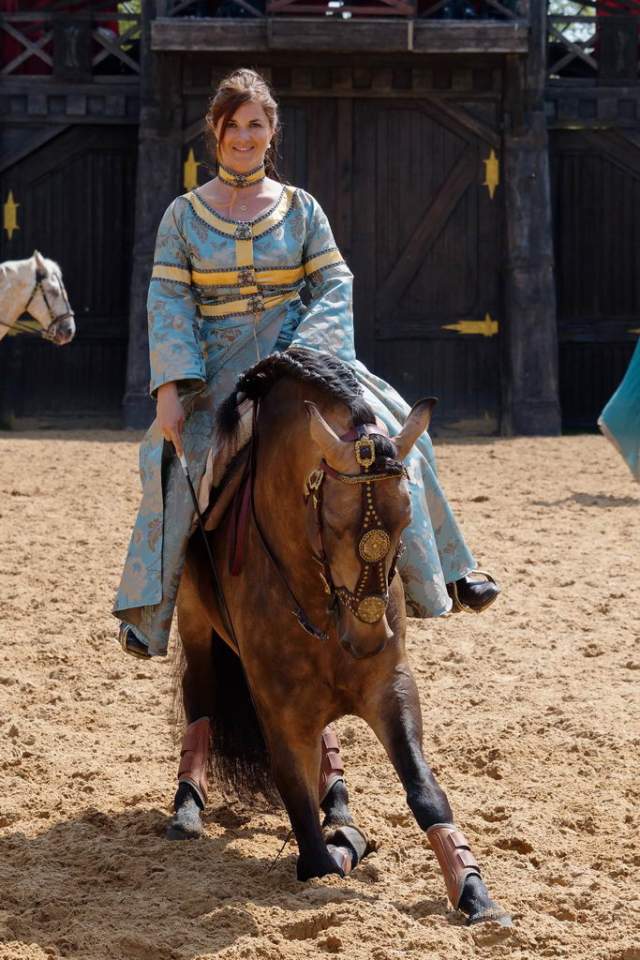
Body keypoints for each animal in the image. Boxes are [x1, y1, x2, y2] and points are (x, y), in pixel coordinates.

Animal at [171, 348, 510, 927]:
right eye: (331, 521)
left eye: (407, 519)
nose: (367, 636)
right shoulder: (279, 706)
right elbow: (313, 850)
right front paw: (338, 843)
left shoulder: (389, 683)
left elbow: (423, 789)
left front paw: (474, 893)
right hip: (196, 627)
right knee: (201, 696)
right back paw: (188, 807)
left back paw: (339, 803)